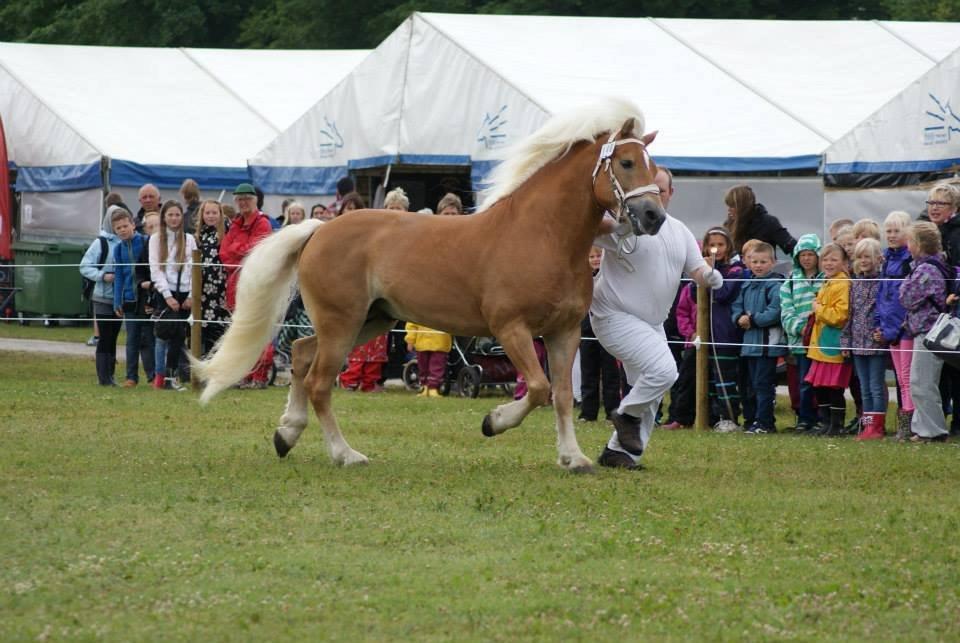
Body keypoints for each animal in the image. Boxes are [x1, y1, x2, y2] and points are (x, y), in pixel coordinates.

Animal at [191, 98, 664, 476]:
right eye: (626, 163)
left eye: (655, 168)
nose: (654, 216)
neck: (543, 236)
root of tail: (319, 230)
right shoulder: (511, 329)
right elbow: (539, 388)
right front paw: (493, 421)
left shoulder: (563, 333)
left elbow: (563, 395)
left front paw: (573, 458)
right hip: (343, 321)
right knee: (320, 382)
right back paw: (346, 454)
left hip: (370, 320)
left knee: (303, 355)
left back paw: (286, 434)